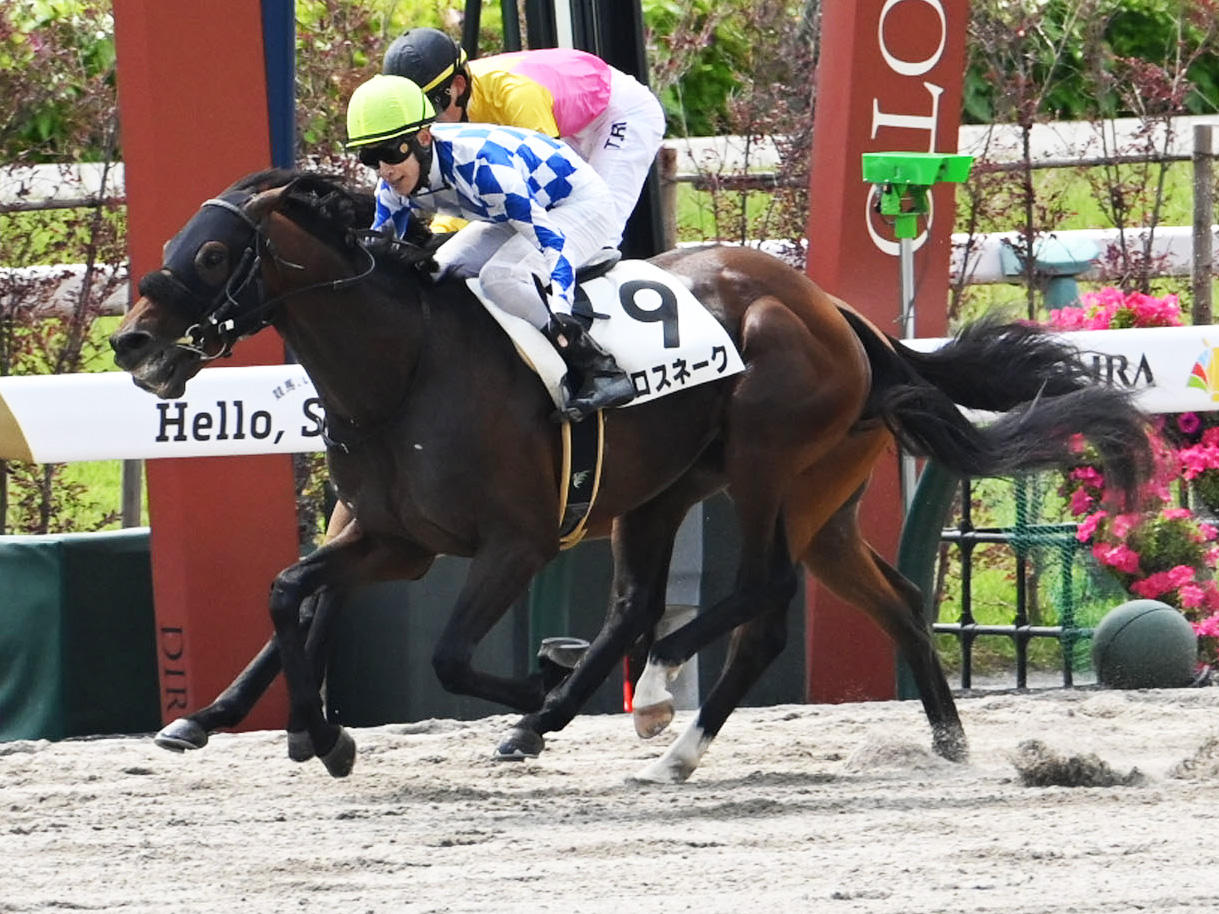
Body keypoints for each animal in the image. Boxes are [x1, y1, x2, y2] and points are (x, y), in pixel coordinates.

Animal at [110, 168, 1153, 783]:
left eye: (213, 252)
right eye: (167, 245)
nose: (132, 343)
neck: (407, 370)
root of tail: (838, 314)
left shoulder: (515, 543)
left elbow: (446, 657)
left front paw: (533, 695)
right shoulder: (393, 539)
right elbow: (291, 589)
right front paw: (304, 732)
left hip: (767, 462)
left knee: (759, 599)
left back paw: (659, 721)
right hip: (752, 497)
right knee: (866, 595)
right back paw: (941, 736)